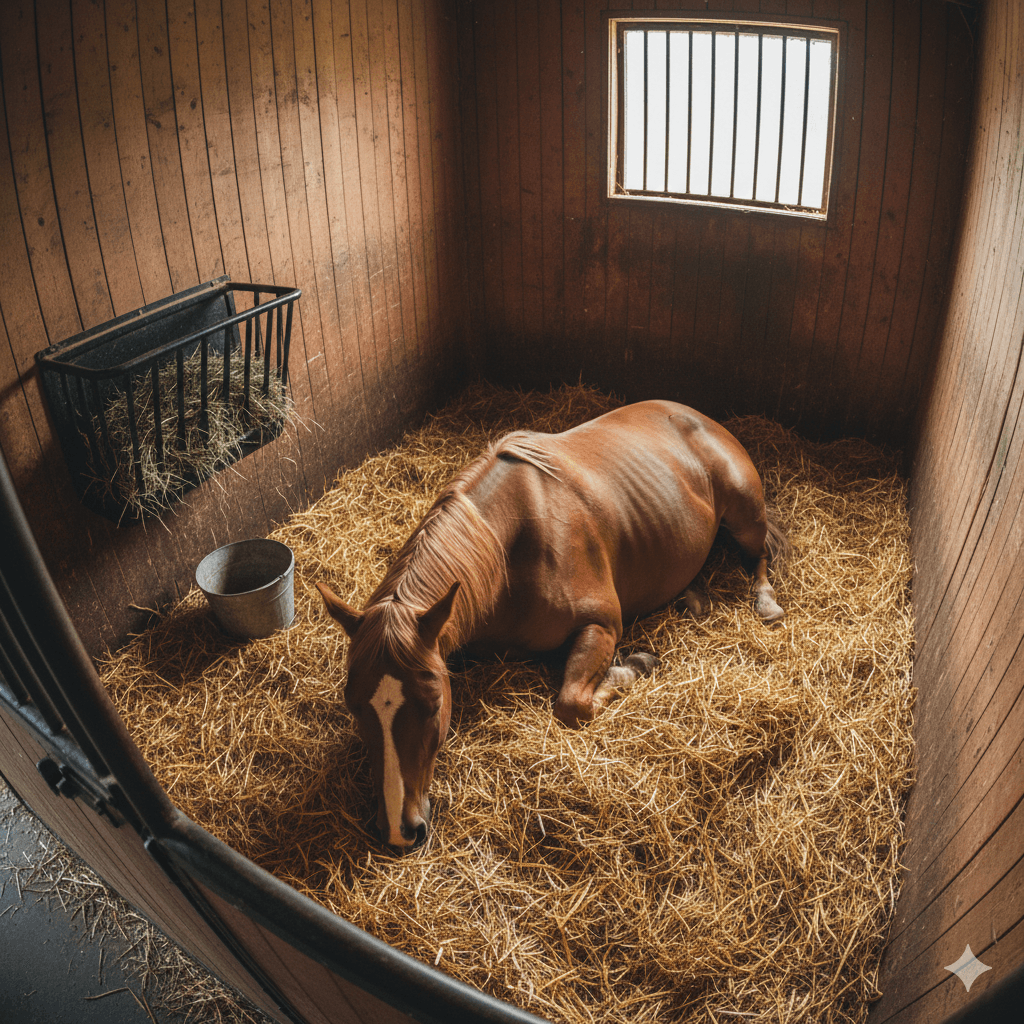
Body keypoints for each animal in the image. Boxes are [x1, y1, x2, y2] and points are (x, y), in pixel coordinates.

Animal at [317, 400, 787, 851]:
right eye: (354, 705)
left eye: (433, 705)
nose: (400, 831)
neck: (510, 552)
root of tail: (699, 416)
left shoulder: (602, 623)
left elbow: (571, 705)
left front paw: (635, 664)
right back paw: (694, 599)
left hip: (745, 515)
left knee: (760, 555)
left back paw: (766, 603)